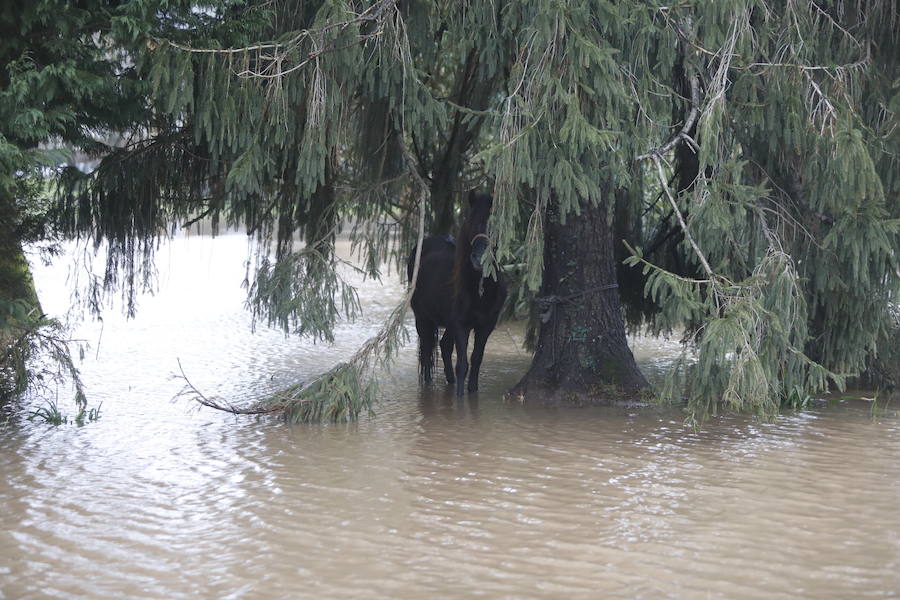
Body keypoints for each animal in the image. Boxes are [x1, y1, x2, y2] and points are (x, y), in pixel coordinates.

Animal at [408, 192, 506, 396]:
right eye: (471, 222)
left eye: (494, 224)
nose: (479, 259)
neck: (480, 290)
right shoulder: (462, 325)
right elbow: (462, 364)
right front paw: (460, 398)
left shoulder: (486, 325)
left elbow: (476, 359)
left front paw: (473, 391)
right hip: (422, 318)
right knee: (427, 350)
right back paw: (429, 384)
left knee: (444, 345)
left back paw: (450, 381)